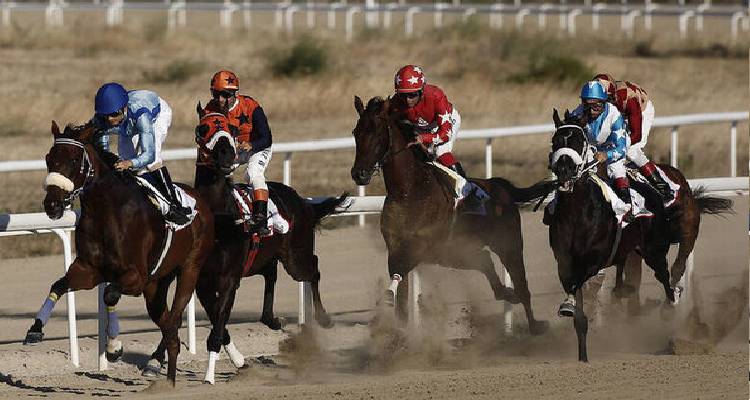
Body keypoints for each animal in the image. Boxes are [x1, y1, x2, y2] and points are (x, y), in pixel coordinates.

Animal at [25, 122, 214, 384]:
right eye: (48, 158)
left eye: (73, 160)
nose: (52, 205)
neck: (106, 212)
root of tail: (202, 202)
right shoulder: (89, 270)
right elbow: (59, 285)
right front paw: (35, 329)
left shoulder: (135, 277)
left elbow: (110, 294)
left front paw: (114, 348)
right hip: (156, 285)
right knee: (169, 327)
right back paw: (162, 374)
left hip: (189, 268)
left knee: (174, 319)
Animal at [142, 110, 348, 384]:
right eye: (203, 128)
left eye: (231, 128)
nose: (227, 153)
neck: (219, 218)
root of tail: (304, 202)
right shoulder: (203, 281)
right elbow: (214, 322)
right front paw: (157, 359)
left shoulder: (229, 279)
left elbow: (217, 327)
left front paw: (209, 375)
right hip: (262, 258)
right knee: (271, 273)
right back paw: (271, 319)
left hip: (295, 257)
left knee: (313, 269)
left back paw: (323, 318)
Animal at [350, 97, 556, 334]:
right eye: (356, 132)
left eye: (377, 133)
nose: (359, 174)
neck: (409, 190)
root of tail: (501, 186)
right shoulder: (396, 247)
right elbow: (400, 285)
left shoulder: (421, 247)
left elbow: (400, 271)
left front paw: (386, 297)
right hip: (457, 252)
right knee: (485, 261)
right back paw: (507, 294)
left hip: (509, 245)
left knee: (522, 285)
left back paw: (535, 325)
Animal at [548, 110, 736, 362]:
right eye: (555, 141)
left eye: (579, 141)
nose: (565, 170)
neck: (577, 213)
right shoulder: (564, 262)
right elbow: (578, 308)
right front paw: (582, 353)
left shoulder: (595, 260)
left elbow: (585, 281)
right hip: (639, 251)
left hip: (659, 246)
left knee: (669, 273)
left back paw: (672, 302)